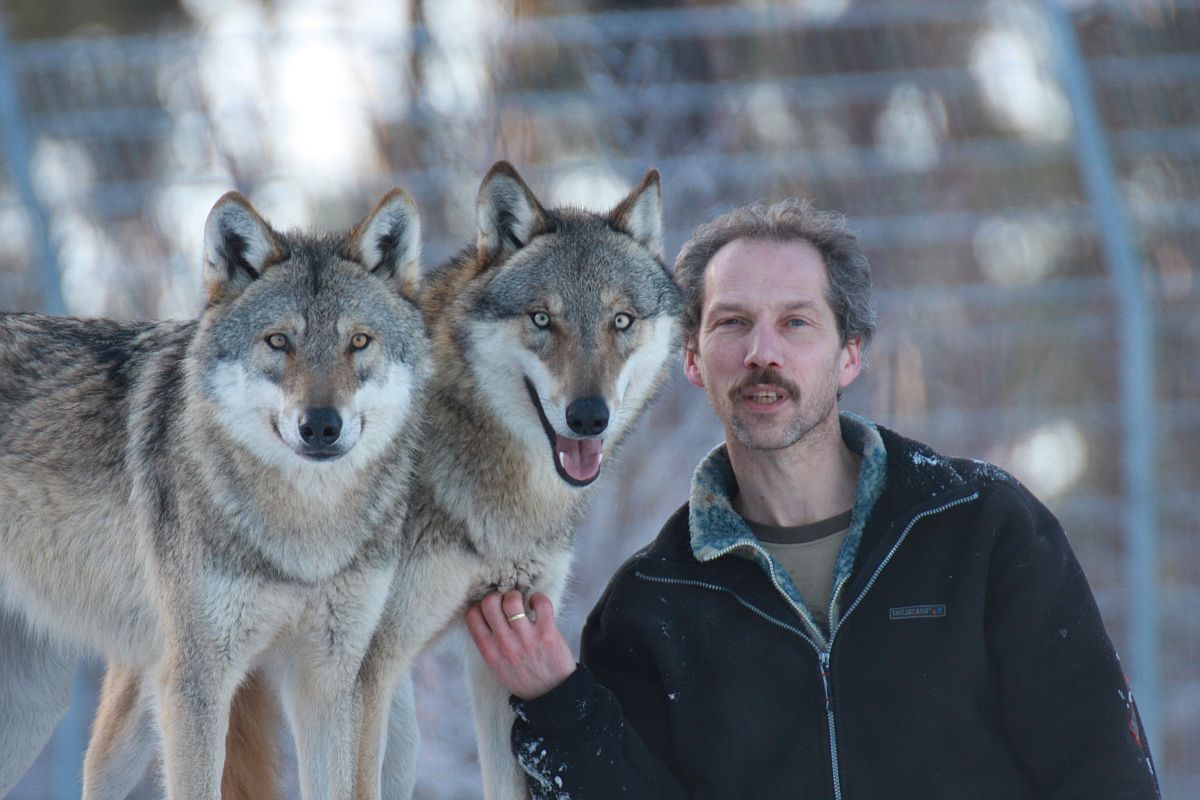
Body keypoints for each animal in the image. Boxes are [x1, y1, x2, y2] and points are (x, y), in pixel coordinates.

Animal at [0, 189, 432, 800]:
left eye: (359, 342)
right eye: (278, 341)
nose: (321, 426)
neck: (303, 534)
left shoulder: (328, 681)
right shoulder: (195, 682)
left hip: (34, 706)